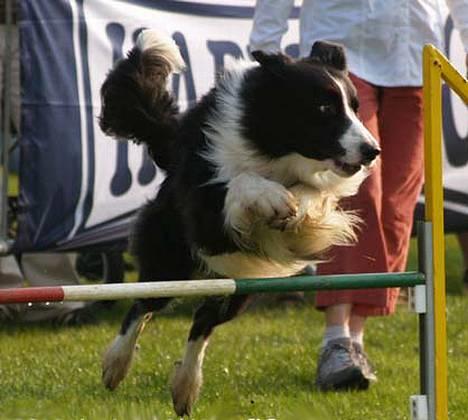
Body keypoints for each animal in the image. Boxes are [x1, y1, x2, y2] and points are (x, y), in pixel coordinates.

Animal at [98, 30, 380, 416]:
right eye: (324, 108)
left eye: (355, 106)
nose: (372, 151)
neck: (273, 146)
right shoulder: (206, 214)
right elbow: (241, 182)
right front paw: (275, 200)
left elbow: (312, 195)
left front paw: (300, 209)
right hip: (172, 258)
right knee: (144, 305)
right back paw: (116, 365)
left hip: (241, 285)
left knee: (203, 319)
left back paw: (185, 387)